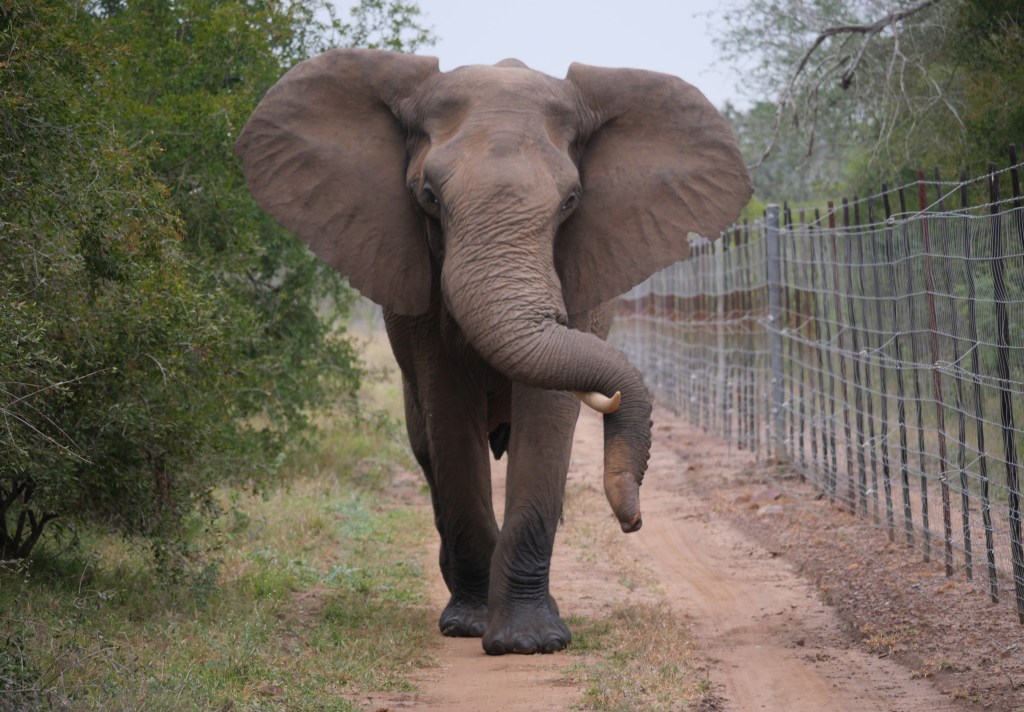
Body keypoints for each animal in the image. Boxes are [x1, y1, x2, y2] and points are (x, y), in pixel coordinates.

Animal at [235, 48, 751, 655]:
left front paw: (531, 642)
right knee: (428, 451)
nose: (633, 522)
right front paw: (471, 627)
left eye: (571, 201)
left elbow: (548, 414)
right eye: (428, 198)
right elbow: (449, 416)